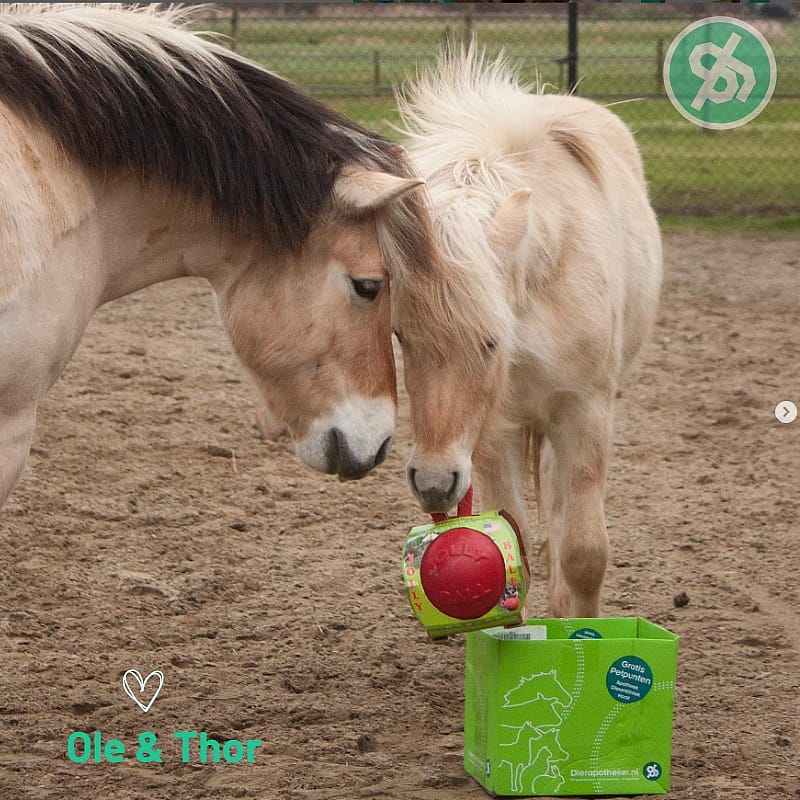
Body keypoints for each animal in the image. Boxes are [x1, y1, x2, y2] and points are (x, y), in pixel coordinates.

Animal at [395, 49, 663, 617]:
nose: (433, 483)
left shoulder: (585, 412)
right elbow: (508, 545)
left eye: (491, 341)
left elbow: (584, 552)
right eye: (401, 337)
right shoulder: (490, 433)